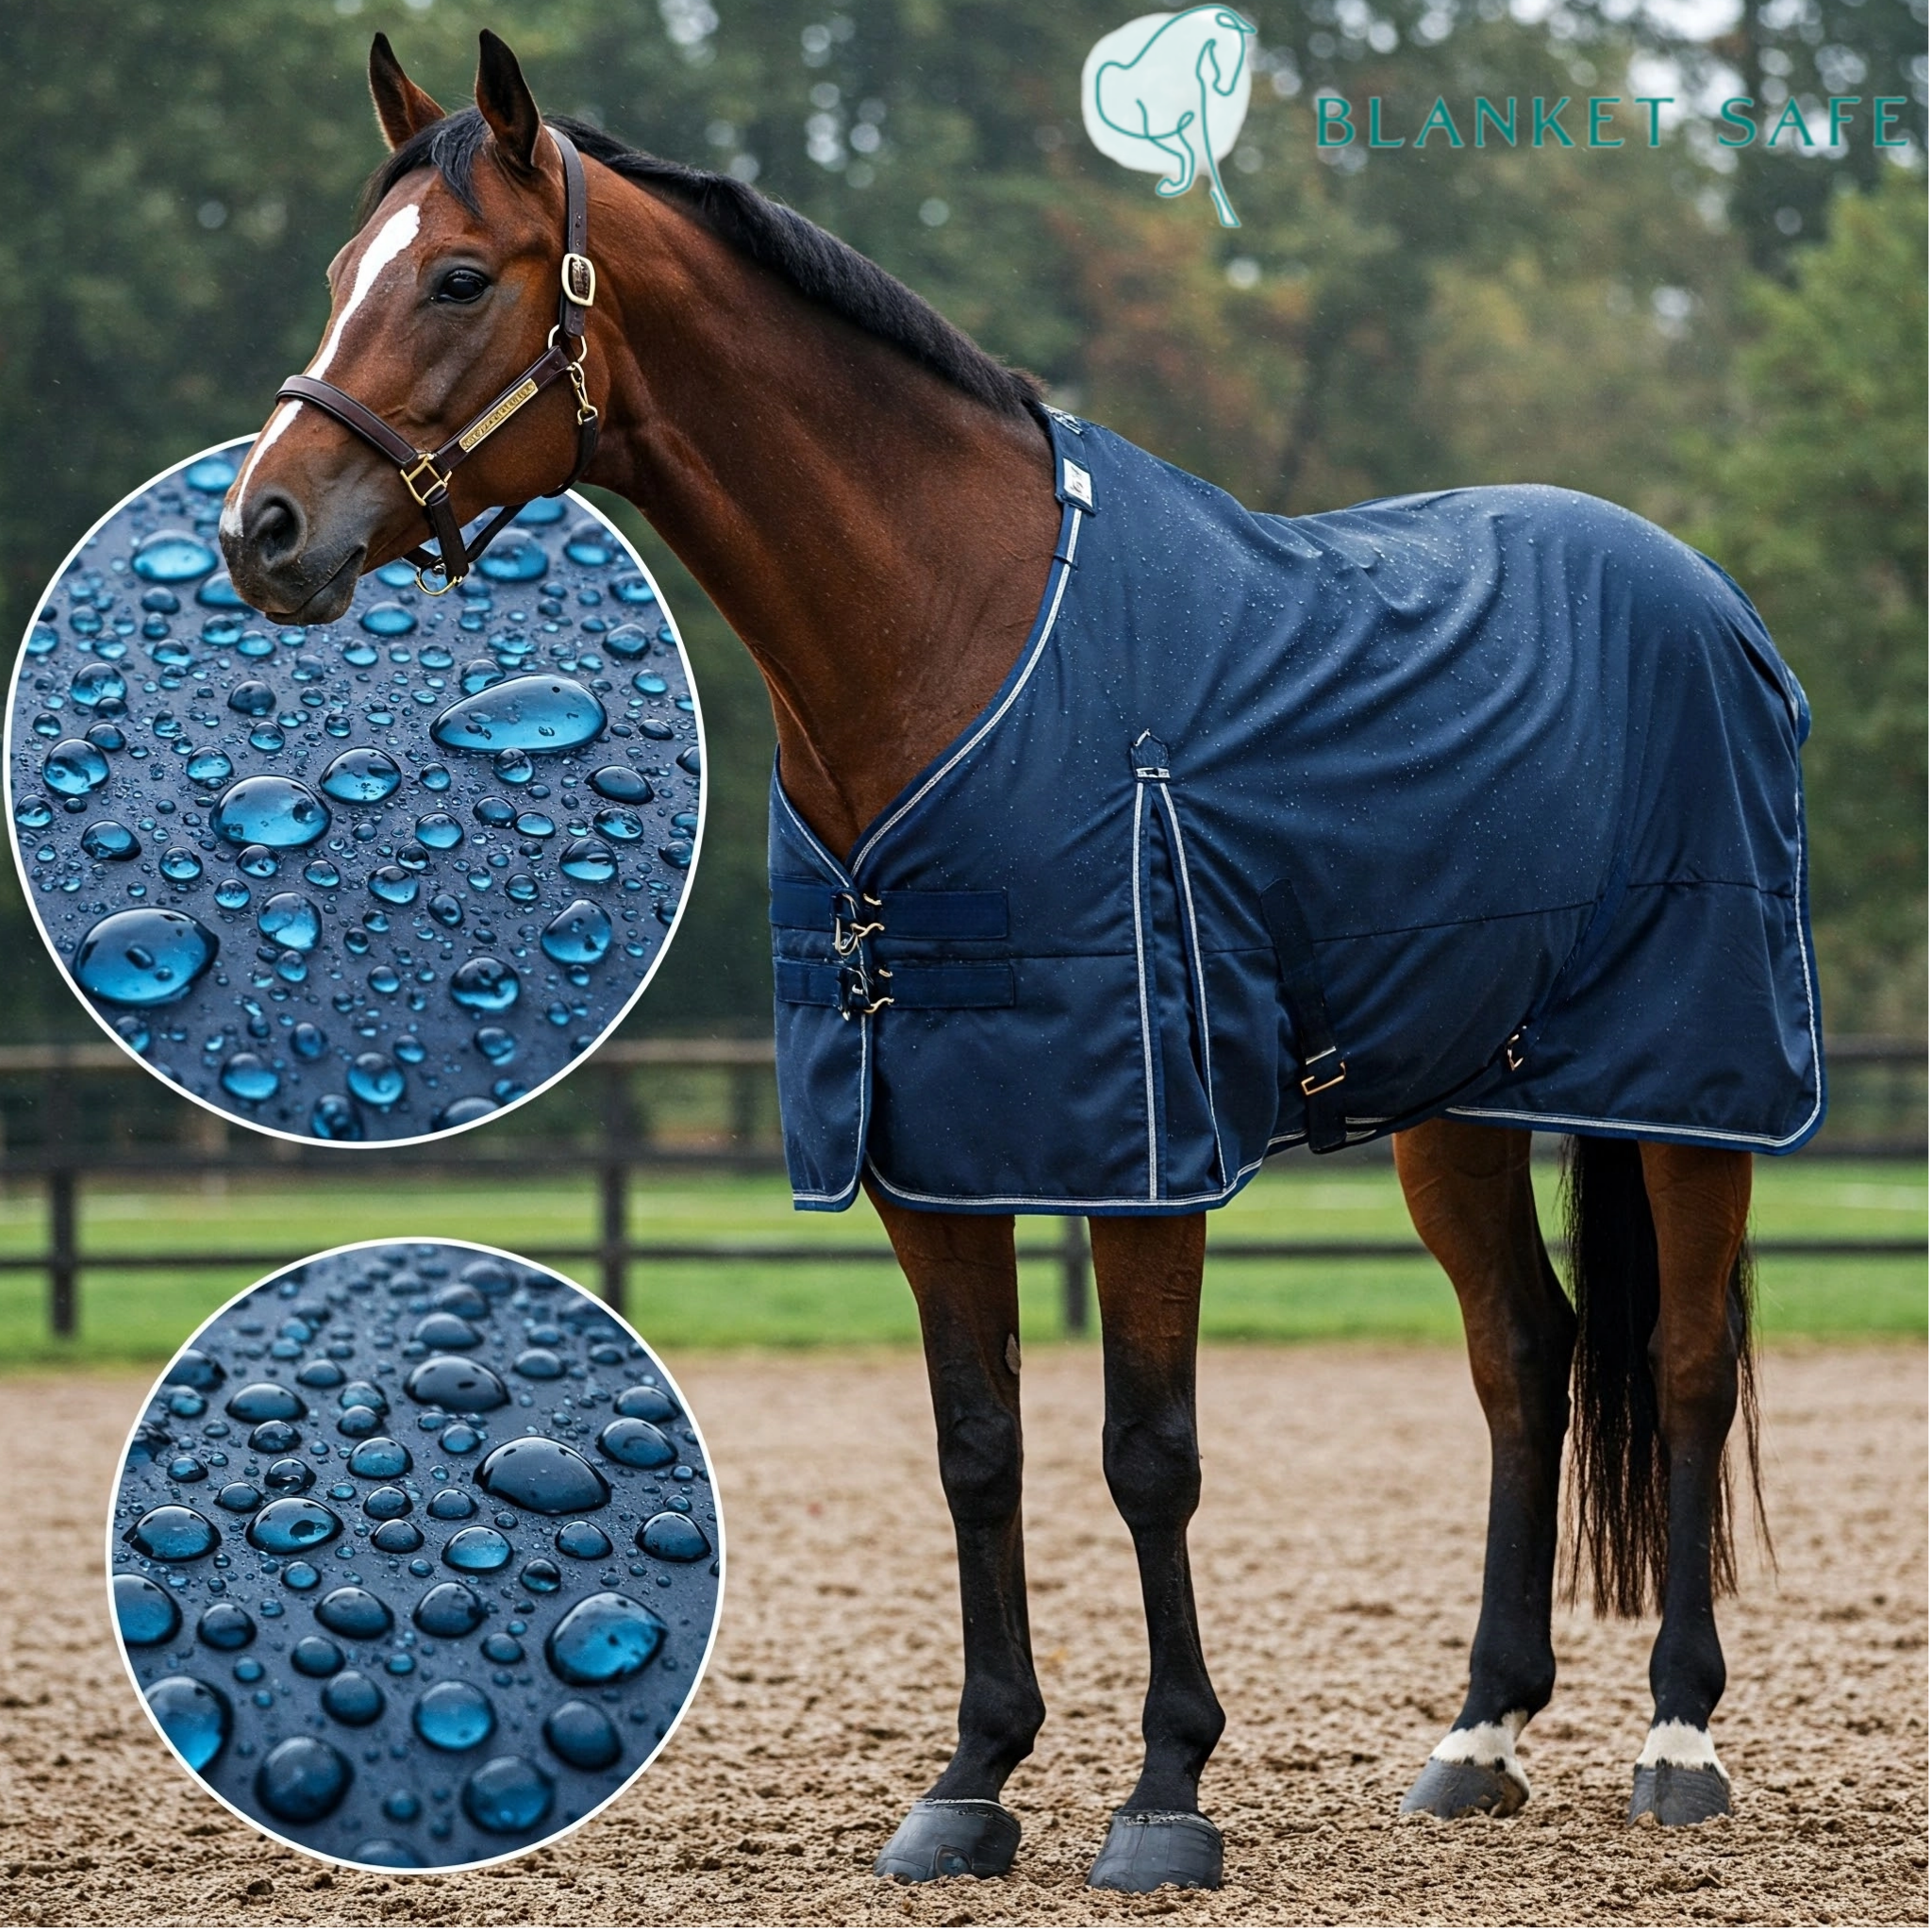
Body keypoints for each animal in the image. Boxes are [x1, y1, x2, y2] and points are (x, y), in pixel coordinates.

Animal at [222, 31, 1804, 1893]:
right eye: (347, 270)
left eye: (461, 277)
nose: (264, 527)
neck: (948, 635)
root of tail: (1702, 592)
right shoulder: (925, 1145)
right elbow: (978, 1452)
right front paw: (973, 1778)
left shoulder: (1138, 1145)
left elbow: (1146, 1454)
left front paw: (1165, 1789)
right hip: (1458, 1103)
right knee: (1526, 1360)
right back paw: (1477, 1732)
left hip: (1692, 1082)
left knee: (1682, 1363)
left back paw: (1677, 1735)